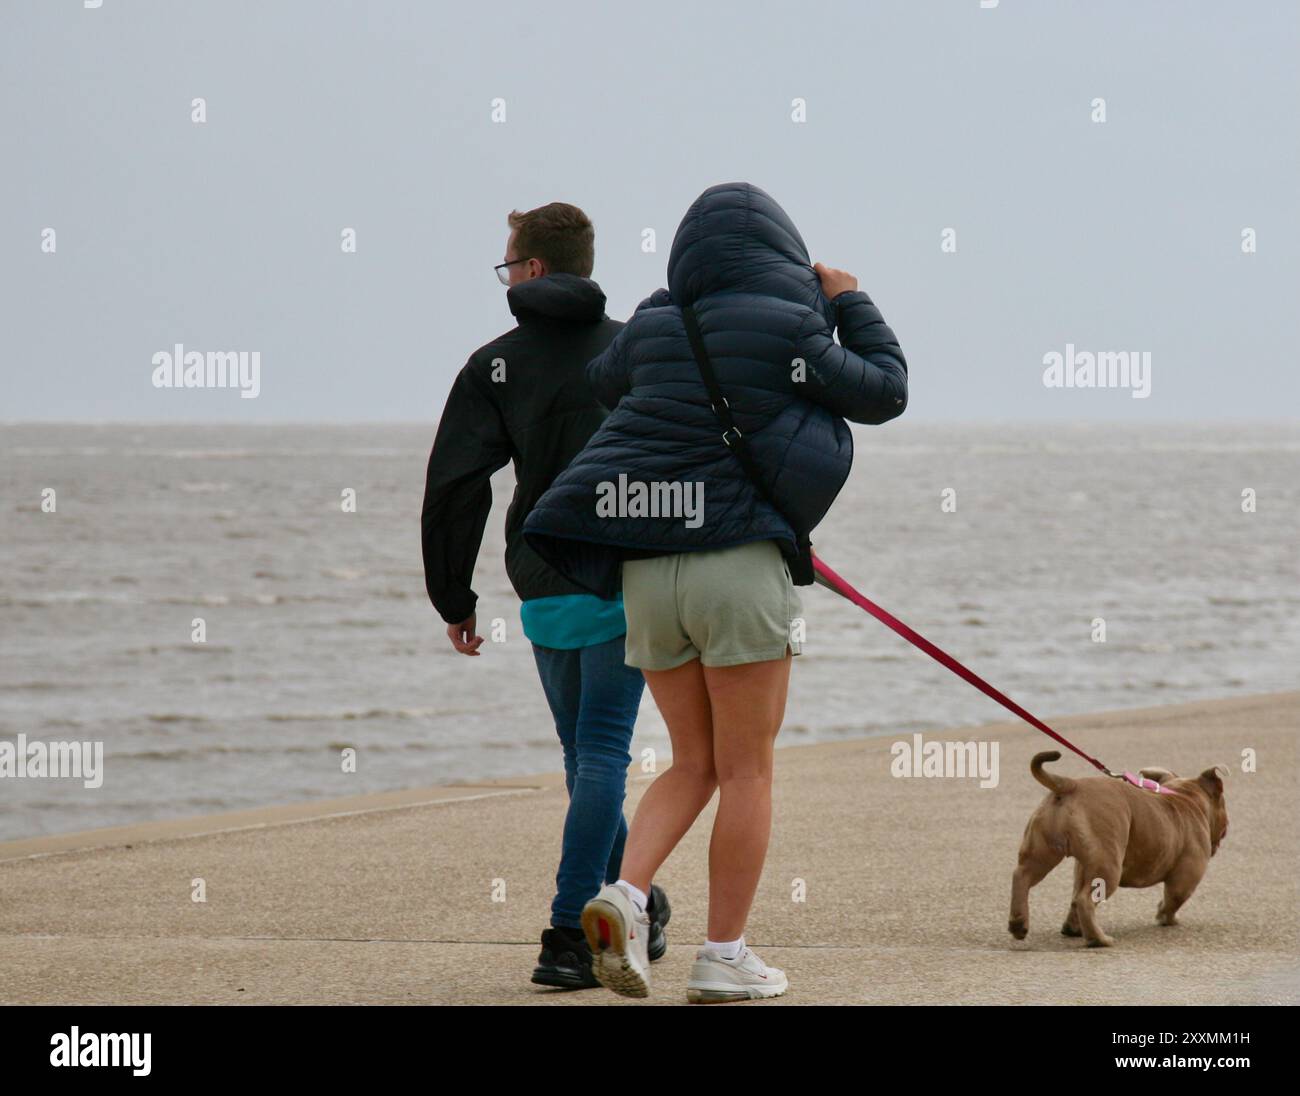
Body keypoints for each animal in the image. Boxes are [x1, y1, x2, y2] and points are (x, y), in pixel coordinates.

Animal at [1003, 748, 1227, 946]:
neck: (1185, 797)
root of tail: (1071, 785)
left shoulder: (1082, 867)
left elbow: (1073, 898)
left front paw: (1072, 928)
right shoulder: (1185, 879)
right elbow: (1172, 901)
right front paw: (1166, 918)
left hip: (1043, 852)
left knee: (1023, 876)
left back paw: (1019, 924)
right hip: (1108, 867)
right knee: (1084, 899)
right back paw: (1098, 940)